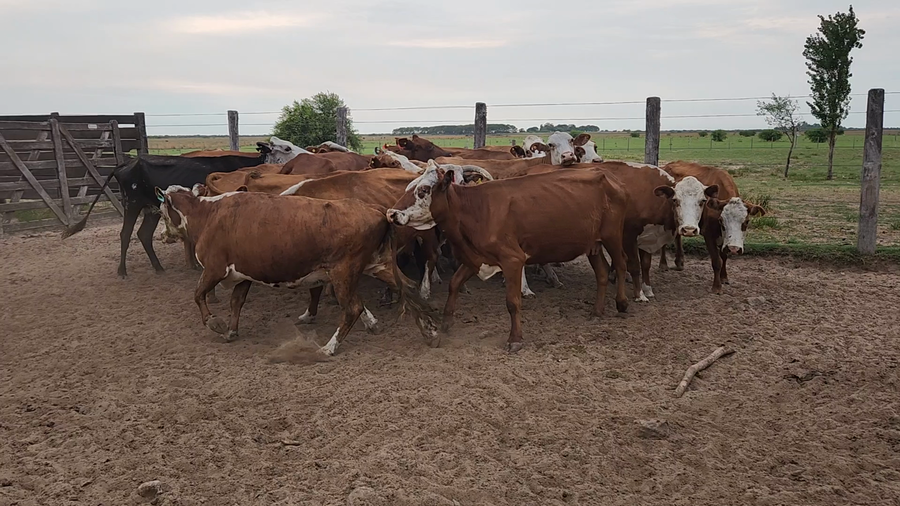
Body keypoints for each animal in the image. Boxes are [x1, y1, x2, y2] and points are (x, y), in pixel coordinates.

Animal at [63, 153, 268, 278]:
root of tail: (127, 163)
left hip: (151, 211)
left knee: (144, 234)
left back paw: (158, 267)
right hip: (132, 205)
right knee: (126, 234)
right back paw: (122, 270)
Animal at [156, 186, 440, 355]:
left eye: (162, 210)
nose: (162, 236)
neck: (208, 214)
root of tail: (376, 209)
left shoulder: (214, 269)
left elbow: (198, 295)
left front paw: (214, 323)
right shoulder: (244, 274)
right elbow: (236, 302)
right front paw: (231, 331)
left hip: (343, 271)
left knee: (352, 307)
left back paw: (329, 348)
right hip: (377, 265)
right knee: (408, 288)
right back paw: (429, 331)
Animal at [386, 161, 630, 352]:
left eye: (424, 190)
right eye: (408, 187)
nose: (391, 213)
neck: (477, 210)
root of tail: (609, 178)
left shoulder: (513, 261)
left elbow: (512, 302)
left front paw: (515, 339)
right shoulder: (475, 258)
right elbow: (454, 284)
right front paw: (447, 323)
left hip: (613, 237)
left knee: (620, 264)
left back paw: (622, 303)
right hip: (593, 244)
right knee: (601, 273)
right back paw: (597, 311)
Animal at [658, 161, 766, 294]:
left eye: (746, 221)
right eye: (721, 220)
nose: (734, 248)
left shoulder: (724, 241)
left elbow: (724, 257)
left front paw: (724, 277)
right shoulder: (709, 235)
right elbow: (716, 261)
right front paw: (717, 286)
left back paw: (679, 261)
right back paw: (663, 264)